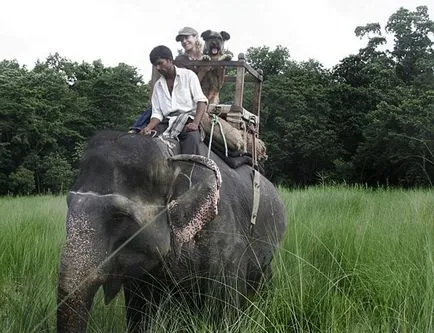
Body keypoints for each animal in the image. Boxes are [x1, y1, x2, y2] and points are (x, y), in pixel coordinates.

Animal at [57, 129, 288, 330]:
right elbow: (140, 309)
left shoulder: (226, 240)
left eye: (119, 216)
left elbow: (223, 308)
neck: (172, 157)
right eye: (68, 205)